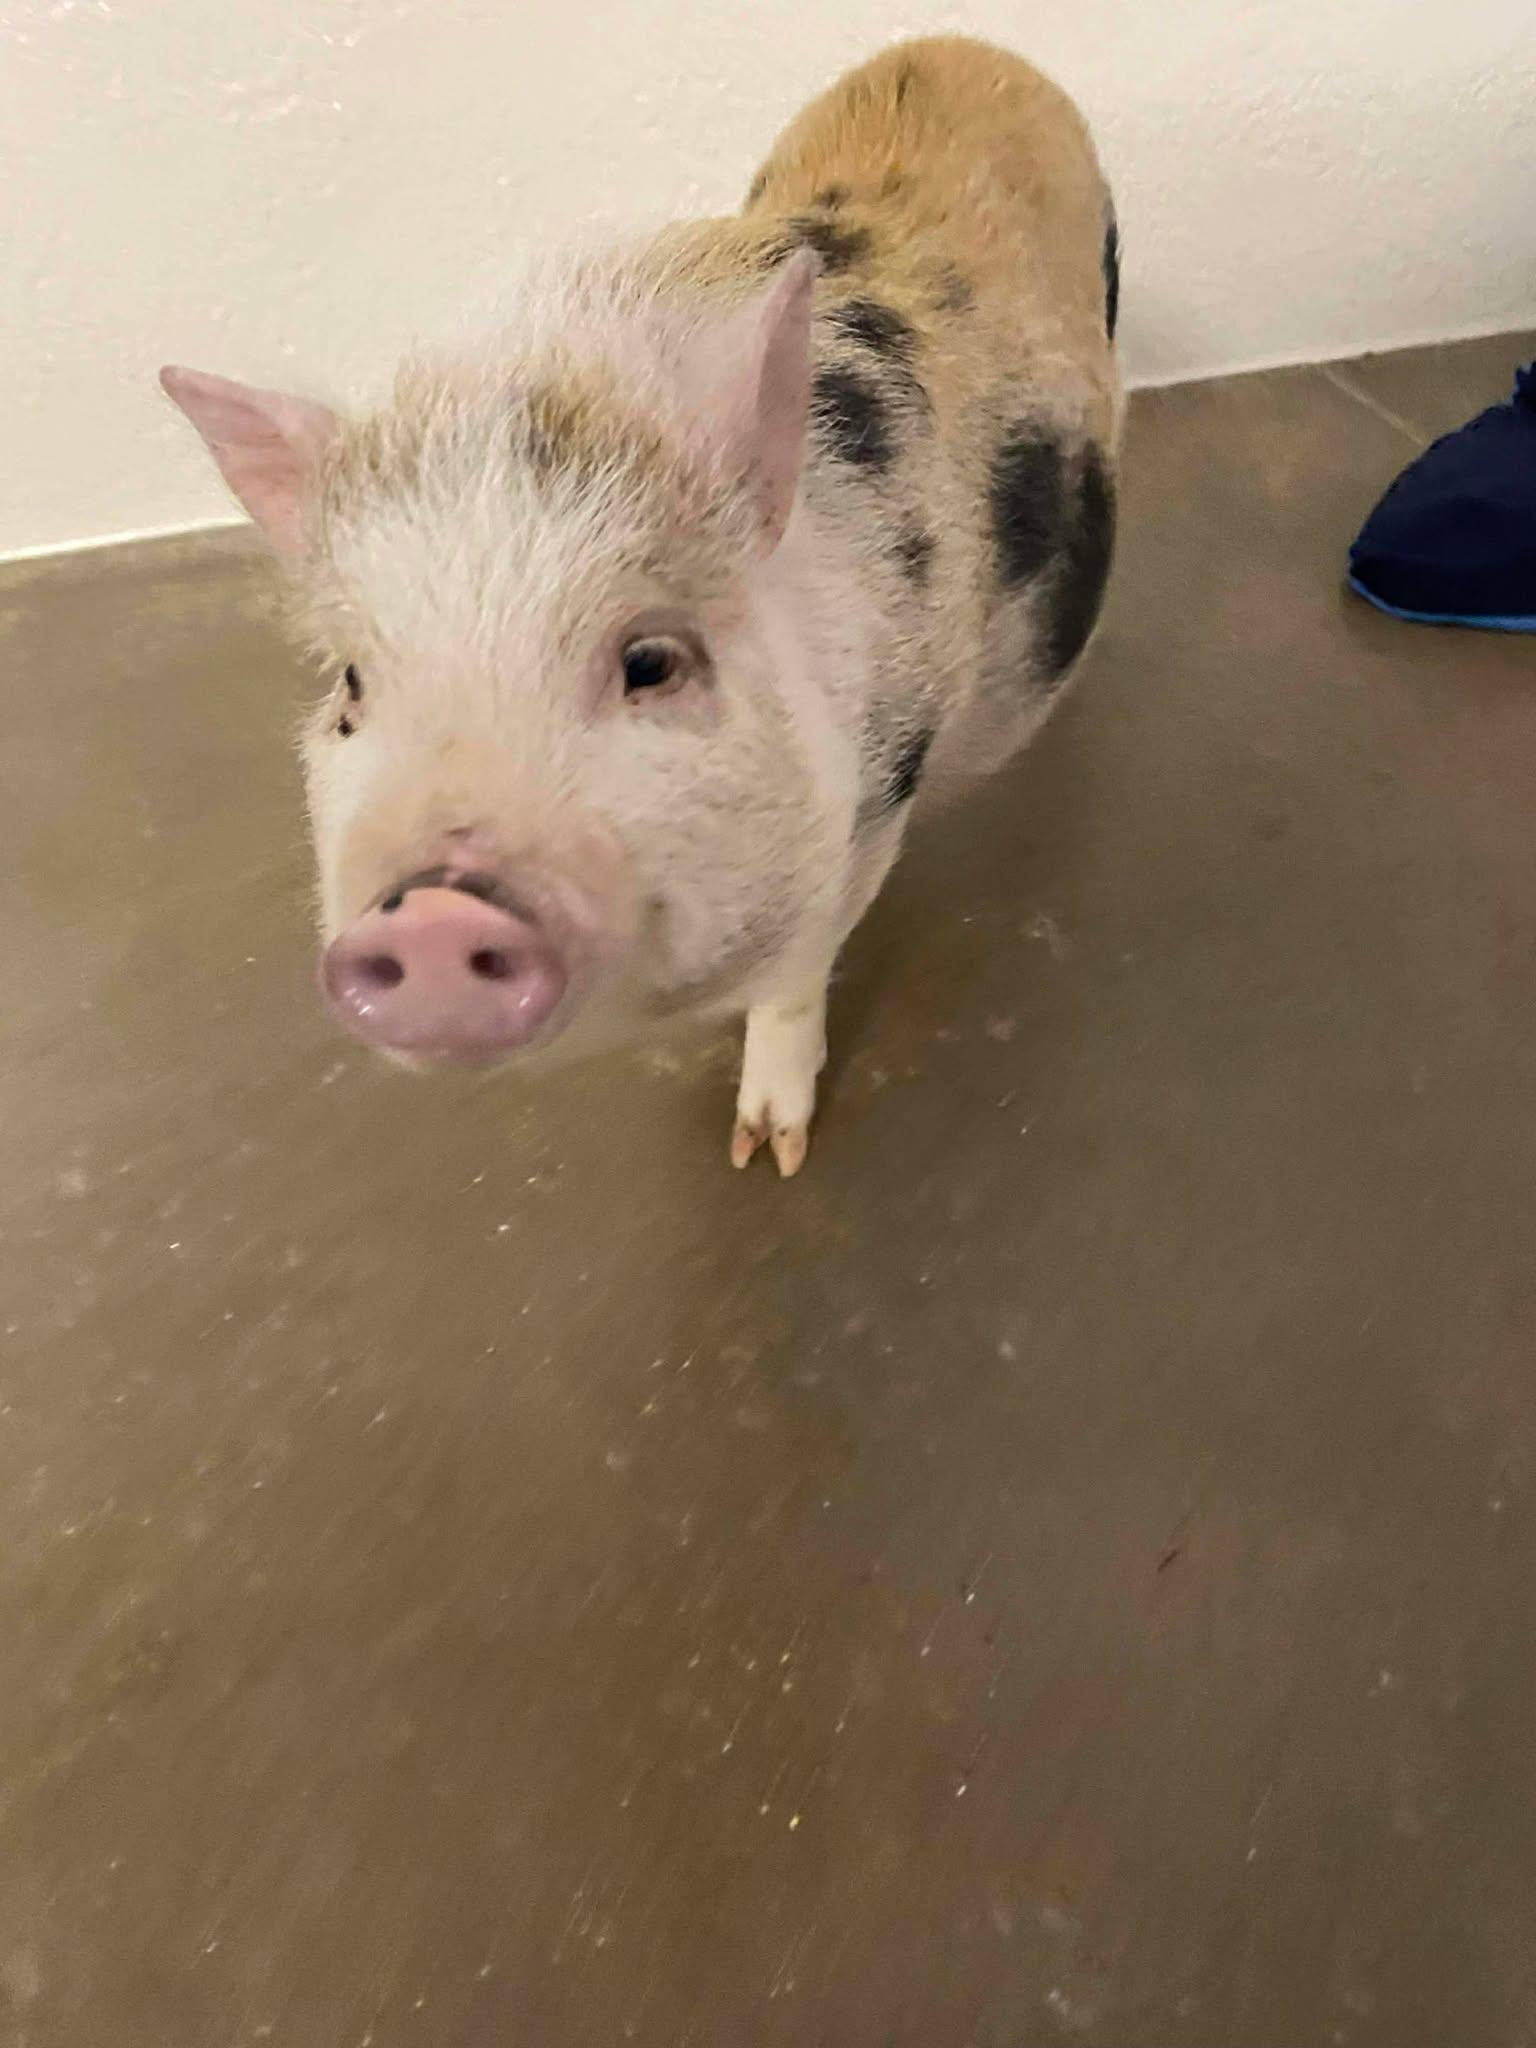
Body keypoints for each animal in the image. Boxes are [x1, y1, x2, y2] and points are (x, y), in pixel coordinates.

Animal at [162, 35, 1120, 1175]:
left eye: (652, 661)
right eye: (351, 685)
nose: (428, 913)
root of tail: (960, 48)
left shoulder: (878, 793)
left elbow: (797, 978)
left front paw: (765, 1153)